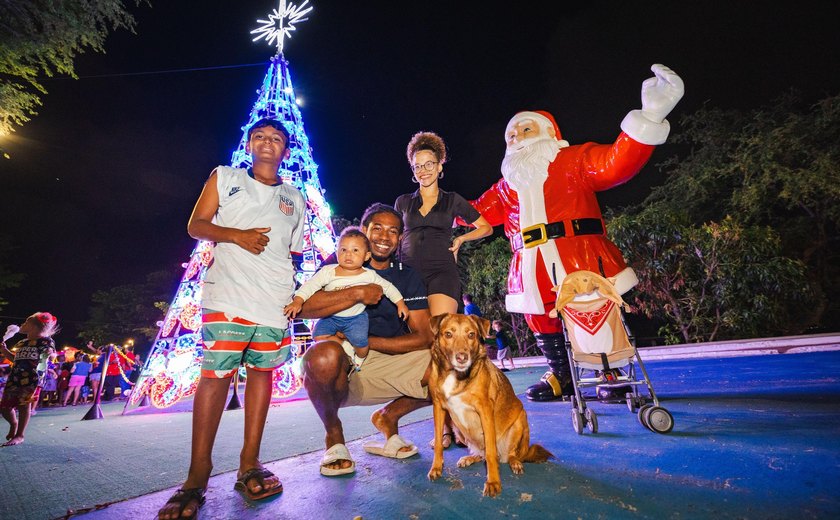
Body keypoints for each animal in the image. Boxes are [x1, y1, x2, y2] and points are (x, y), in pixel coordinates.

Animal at [426, 312, 552, 496]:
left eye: (471, 335)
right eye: (448, 334)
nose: (462, 358)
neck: (455, 375)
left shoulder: (485, 410)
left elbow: (491, 454)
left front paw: (493, 482)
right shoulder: (438, 408)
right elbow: (438, 443)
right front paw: (436, 468)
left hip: (521, 419)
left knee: (507, 454)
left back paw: (515, 462)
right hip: (459, 431)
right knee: (482, 454)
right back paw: (471, 457)